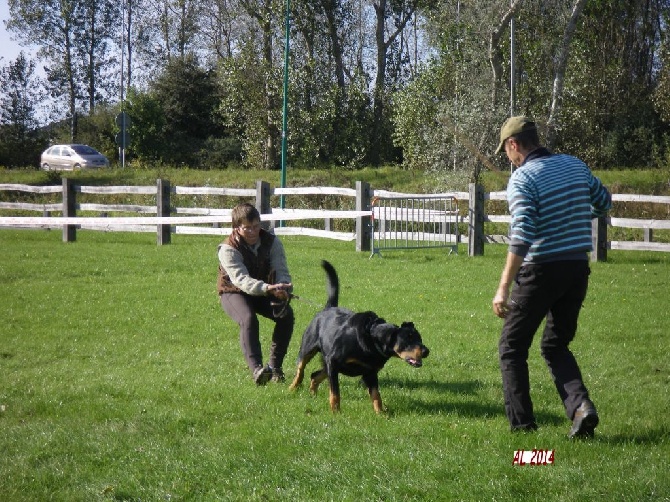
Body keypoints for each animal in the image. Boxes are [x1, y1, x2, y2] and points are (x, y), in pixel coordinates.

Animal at [288, 260, 430, 414]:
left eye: (419, 339)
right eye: (408, 339)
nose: (426, 351)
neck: (371, 340)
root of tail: (327, 308)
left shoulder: (370, 372)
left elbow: (376, 394)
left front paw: (381, 413)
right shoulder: (333, 362)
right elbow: (335, 392)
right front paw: (336, 411)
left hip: (327, 365)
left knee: (314, 376)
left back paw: (313, 394)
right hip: (309, 350)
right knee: (300, 369)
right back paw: (293, 388)